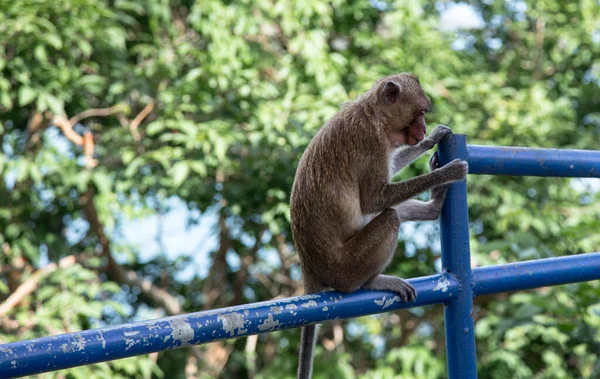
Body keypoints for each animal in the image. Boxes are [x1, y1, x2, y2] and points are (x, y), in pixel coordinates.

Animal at [290, 72, 468, 378]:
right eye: (420, 113)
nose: (422, 130)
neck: (373, 114)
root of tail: (309, 269)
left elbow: (389, 175)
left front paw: (432, 140)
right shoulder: (371, 142)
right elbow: (373, 199)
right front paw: (448, 172)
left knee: (393, 211)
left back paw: (432, 208)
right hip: (346, 268)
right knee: (389, 217)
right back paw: (373, 282)